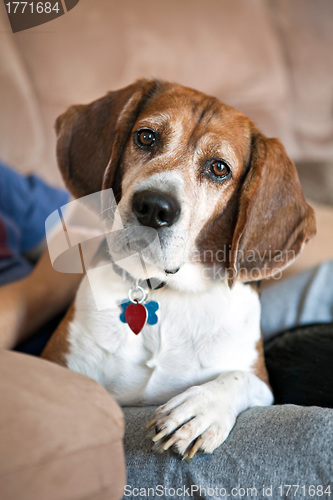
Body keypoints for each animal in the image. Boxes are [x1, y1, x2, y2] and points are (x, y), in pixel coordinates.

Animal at [42, 79, 316, 460]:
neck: (165, 289)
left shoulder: (260, 379)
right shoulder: (60, 363)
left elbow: (239, 378)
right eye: (146, 137)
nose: (154, 207)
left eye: (219, 168)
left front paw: (200, 410)